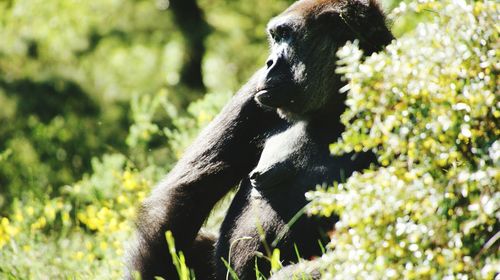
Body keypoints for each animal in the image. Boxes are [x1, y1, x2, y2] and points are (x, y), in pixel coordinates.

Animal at [126, 1, 394, 278]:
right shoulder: (254, 92)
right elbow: (184, 194)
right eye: (275, 37)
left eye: (286, 35)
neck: (335, 104)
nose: (269, 63)